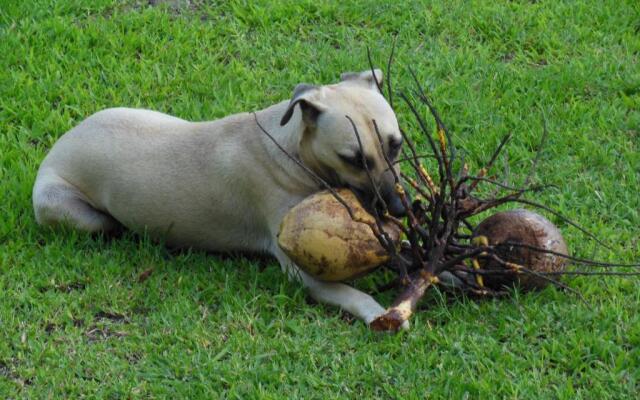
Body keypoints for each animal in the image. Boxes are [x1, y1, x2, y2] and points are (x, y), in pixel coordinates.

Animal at [32, 69, 404, 324]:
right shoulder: (304, 273)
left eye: (396, 144)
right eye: (353, 159)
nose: (401, 208)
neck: (293, 150)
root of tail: (59, 146)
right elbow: (352, 292)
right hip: (74, 211)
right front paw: (380, 313)